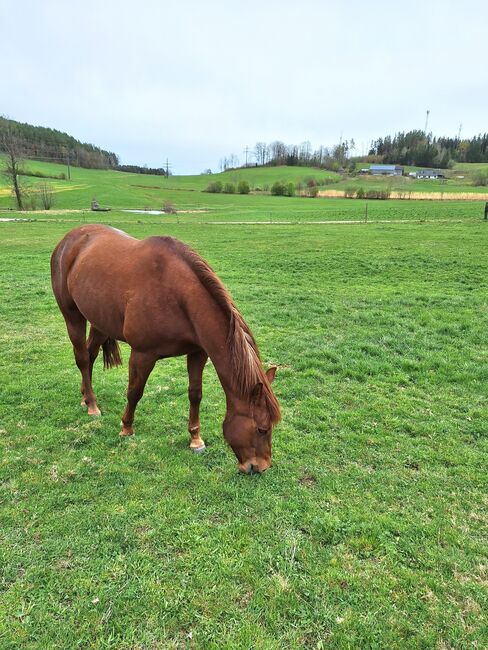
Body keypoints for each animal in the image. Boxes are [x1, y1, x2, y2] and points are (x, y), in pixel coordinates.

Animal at [51, 225, 280, 474]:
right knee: (82, 357)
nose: (260, 467)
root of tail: (69, 238)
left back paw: (85, 396)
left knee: (90, 354)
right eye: (261, 429)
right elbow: (135, 392)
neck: (178, 297)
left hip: (100, 321)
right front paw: (126, 428)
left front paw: (195, 439)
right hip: (72, 315)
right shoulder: (142, 354)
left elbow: (195, 394)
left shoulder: (198, 353)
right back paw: (92, 405)